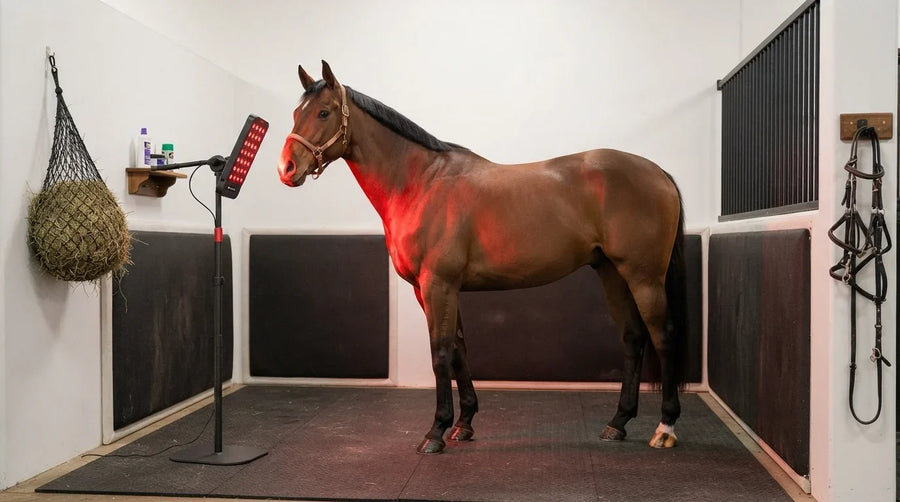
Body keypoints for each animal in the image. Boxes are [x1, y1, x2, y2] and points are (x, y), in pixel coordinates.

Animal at [278, 61, 687, 455]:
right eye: (296, 112)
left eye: (324, 112)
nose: (286, 168)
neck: (420, 182)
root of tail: (659, 173)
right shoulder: (438, 289)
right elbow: (460, 349)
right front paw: (463, 424)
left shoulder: (437, 285)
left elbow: (441, 353)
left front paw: (436, 432)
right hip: (611, 273)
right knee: (633, 337)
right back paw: (618, 423)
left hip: (644, 277)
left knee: (663, 336)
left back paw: (665, 428)